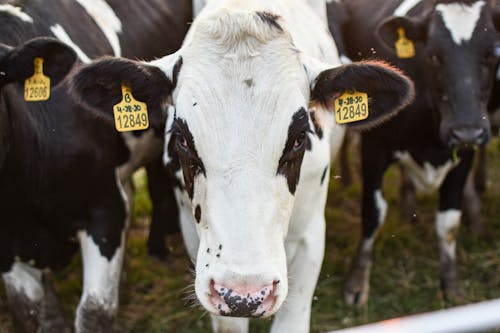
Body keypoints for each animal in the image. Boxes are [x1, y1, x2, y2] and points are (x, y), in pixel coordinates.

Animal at [332, 0, 500, 304]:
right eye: (433, 55)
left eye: (492, 53)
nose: (467, 131)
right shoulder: (374, 148)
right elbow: (373, 213)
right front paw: (356, 284)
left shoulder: (463, 155)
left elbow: (448, 222)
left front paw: (452, 286)